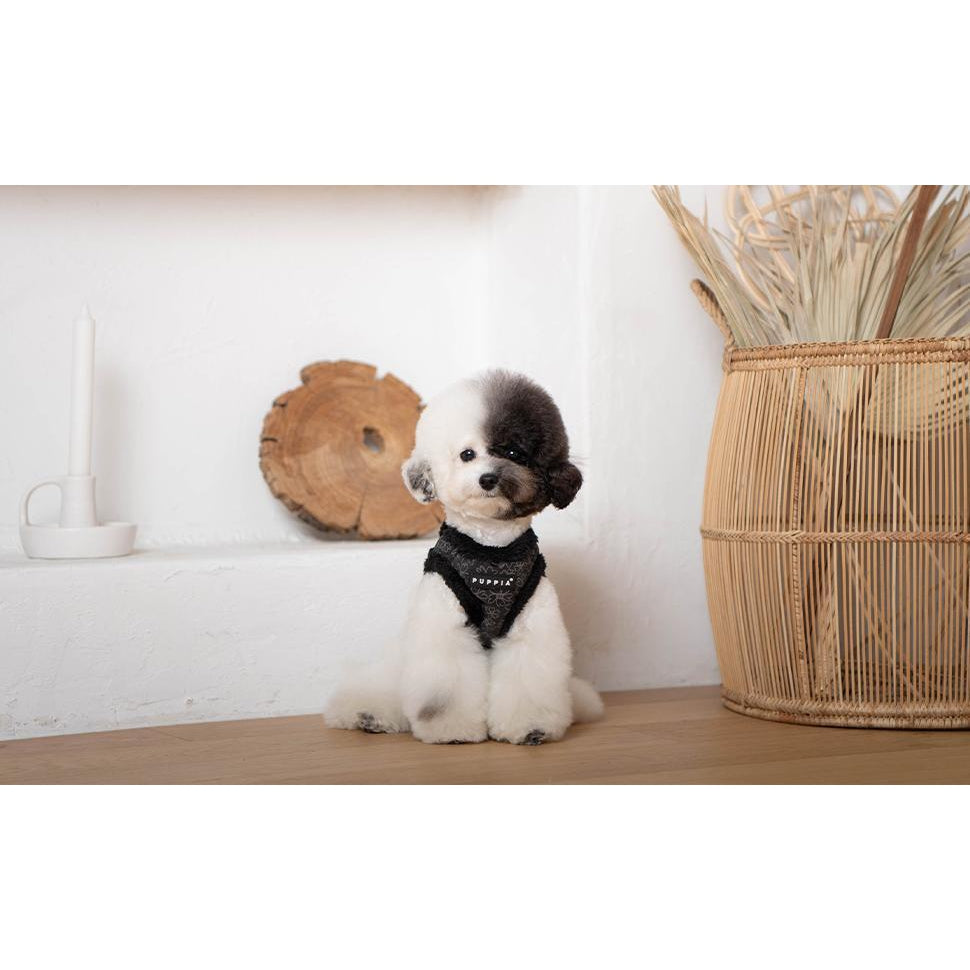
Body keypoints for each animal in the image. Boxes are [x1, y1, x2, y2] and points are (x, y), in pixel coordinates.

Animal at [324, 370, 603, 744]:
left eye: (514, 453)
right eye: (467, 454)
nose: (489, 478)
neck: (491, 549)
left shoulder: (532, 623)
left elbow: (529, 676)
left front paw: (531, 728)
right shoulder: (444, 620)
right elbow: (445, 686)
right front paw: (451, 730)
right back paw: (368, 713)